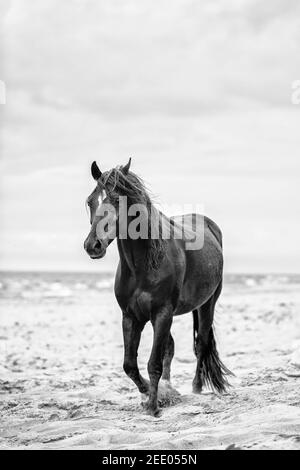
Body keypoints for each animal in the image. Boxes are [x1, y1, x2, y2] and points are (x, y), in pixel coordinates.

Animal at [84, 160, 232, 416]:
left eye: (117, 201)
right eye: (90, 201)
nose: (93, 245)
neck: (143, 266)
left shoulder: (162, 313)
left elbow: (153, 363)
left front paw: (154, 406)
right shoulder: (131, 317)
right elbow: (130, 365)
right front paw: (151, 393)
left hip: (207, 305)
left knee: (201, 345)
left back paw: (196, 388)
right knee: (171, 348)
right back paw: (170, 386)